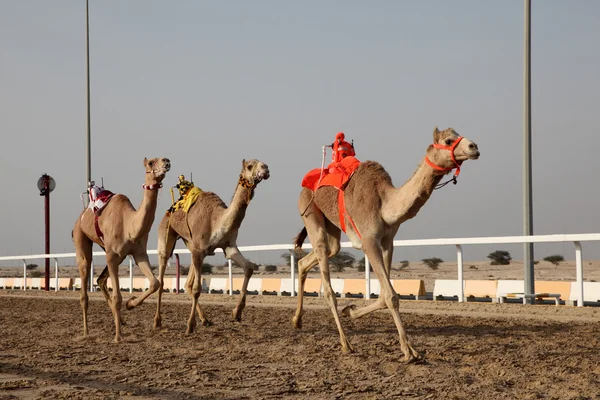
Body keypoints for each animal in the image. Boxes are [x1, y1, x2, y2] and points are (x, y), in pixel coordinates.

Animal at [73, 156, 171, 340]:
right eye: (151, 163)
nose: (166, 161)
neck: (129, 225)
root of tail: (81, 216)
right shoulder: (112, 255)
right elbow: (117, 296)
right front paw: (118, 337)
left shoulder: (139, 253)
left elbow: (155, 283)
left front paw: (130, 303)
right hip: (81, 238)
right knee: (85, 282)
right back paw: (86, 332)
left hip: (115, 253)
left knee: (100, 280)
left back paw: (120, 321)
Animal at [151, 158, 270, 332]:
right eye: (249, 166)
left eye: (263, 163)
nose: (266, 169)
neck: (217, 220)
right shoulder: (199, 250)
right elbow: (197, 289)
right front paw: (189, 326)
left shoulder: (228, 246)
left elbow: (248, 268)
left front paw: (237, 313)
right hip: (166, 234)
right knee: (163, 273)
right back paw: (157, 321)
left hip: (190, 244)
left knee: (187, 284)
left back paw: (205, 319)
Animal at [292, 128, 480, 362]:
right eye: (448, 140)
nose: (474, 147)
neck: (384, 202)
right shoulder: (368, 241)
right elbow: (391, 295)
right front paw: (409, 351)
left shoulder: (387, 242)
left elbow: (384, 295)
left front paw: (350, 310)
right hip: (309, 210)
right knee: (326, 281)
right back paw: (346, 344)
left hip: (332, 226)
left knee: (317, 255)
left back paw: (297, 320)